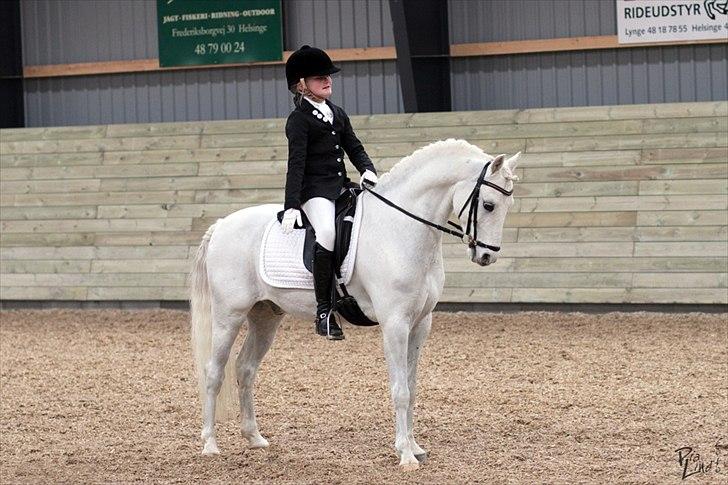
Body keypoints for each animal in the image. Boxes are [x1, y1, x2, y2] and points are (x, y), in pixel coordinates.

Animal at [190, 138, 520, 468]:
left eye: (508, 206)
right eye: (488, 205)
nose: (487, 256)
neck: (399, 228)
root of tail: (221, 225)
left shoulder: (420, 324)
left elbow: (412, 388)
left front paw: (414, 447)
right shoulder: (395, 323)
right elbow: (400, 390)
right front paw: (405, 454)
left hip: (265, 316)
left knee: (245, 369)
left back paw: (254, 438)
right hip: (228, 316)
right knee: (213, 372)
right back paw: (209, 444)